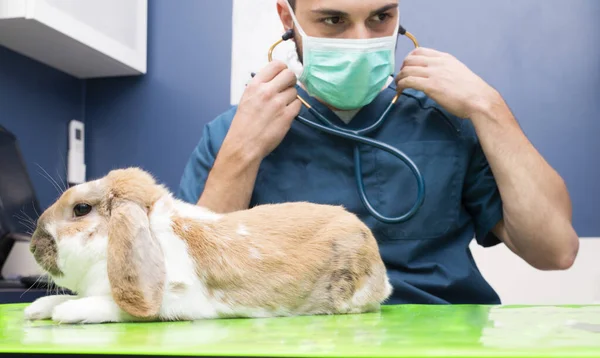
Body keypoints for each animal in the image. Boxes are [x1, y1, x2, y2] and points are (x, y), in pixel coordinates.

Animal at [23, 168, 392, 324]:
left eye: (81, 209)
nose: (33, 246)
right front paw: (37, 309)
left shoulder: (175, 300)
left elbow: (113, 307)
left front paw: (66, 312)